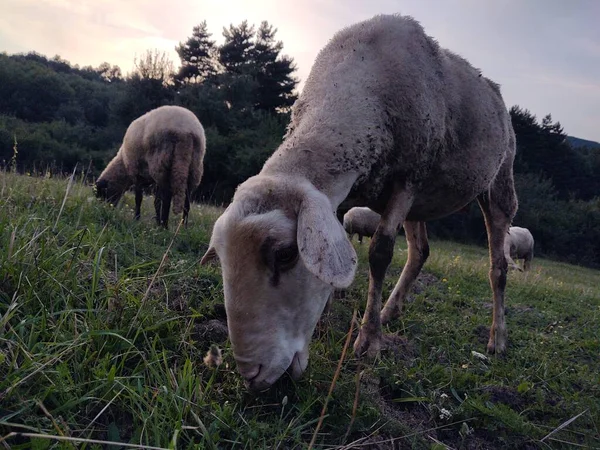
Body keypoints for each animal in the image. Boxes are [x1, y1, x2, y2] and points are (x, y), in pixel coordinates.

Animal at [200, 14, 516, 390]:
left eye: (285, 254)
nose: (251, 376)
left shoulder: (407, 179)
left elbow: (379, 253)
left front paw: (369, 342)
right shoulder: (342, 195)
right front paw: (328, 316)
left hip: (497, 182)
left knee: (498, 266)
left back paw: (497, 339)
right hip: (421, 201)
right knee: (420, 252)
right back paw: (390, 311)